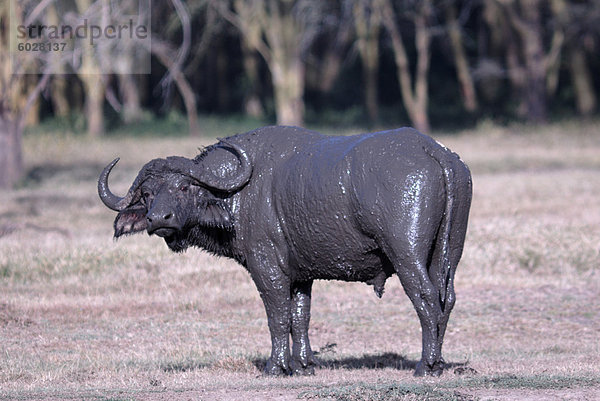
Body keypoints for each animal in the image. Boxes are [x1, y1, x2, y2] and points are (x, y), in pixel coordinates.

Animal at [99, 125, 474, 376]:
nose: (157, 219)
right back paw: (439, 362)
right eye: (147, 194)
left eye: (184, 186)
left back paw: (426, 365)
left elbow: (277, 316)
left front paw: (276, 366)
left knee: (426, 298)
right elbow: (300, 316)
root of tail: (434, 152)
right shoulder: (301, 275)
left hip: (407, 254)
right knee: (448, 298)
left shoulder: (268, 269)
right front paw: (304, 364)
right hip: (448, 254)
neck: (239, 193)